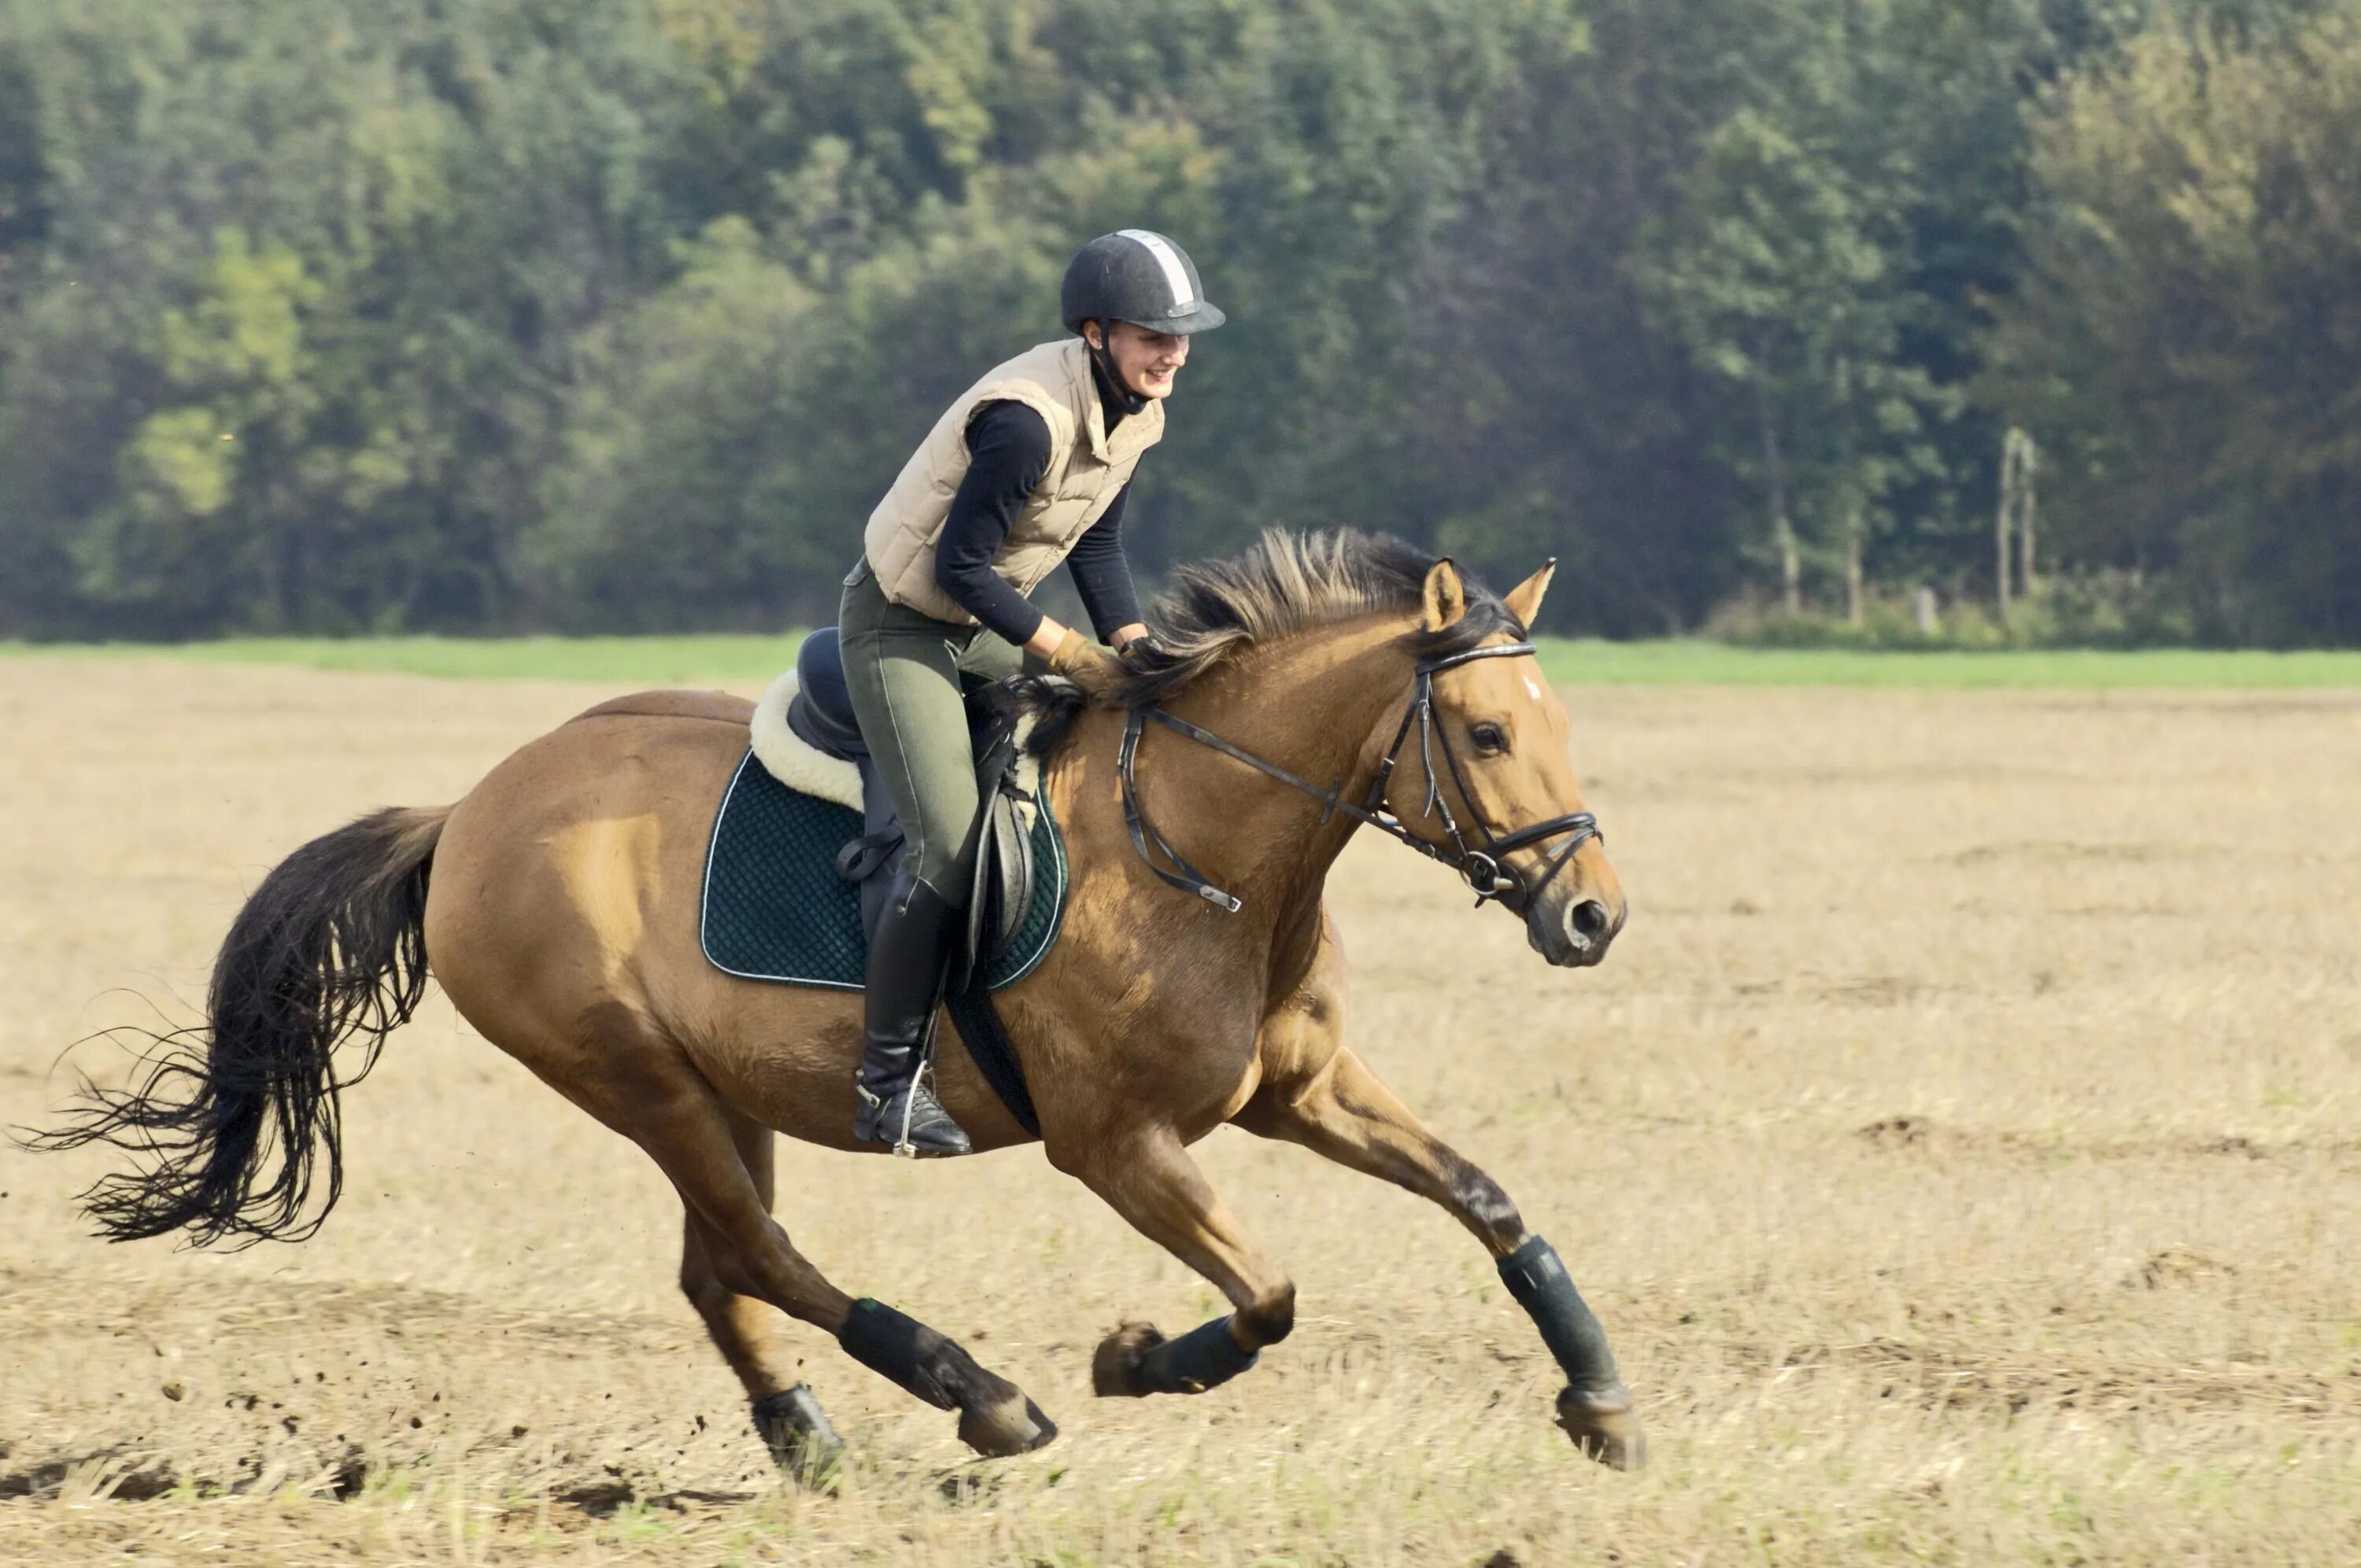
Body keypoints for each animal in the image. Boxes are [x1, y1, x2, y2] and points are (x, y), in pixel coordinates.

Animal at [36, 533, 1643, 1473]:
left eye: (1561, 721)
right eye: (1483, 731)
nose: (1592, 914)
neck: (1209, 846)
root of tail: (470, 811)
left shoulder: (1302, 1091)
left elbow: (1491, 1202)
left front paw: (1601, 1401)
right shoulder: (1118, 1145)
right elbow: (1268, 1294)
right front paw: (1133, 1363)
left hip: (711, 1089)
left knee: (718, 1266)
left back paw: (806, 1433)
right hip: (634, 1076)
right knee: (759, 1251)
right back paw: (977, 1393)